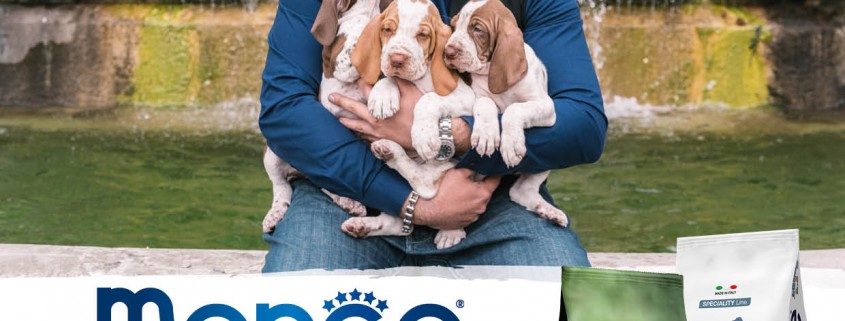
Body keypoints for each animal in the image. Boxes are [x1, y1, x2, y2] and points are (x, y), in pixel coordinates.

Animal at [342, 0, 478, 249]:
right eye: (388, 29)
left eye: (423, 34)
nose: (397, 59)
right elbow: (387, 77)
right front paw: (383, 95)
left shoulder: (466, 98)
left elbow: (428, 99)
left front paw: (423, 136)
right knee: (400, 223)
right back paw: (362, 225)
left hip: (446, 166)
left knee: (425, 184)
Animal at [442, 0, 568, 226]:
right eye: (454, 27)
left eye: (477, 29)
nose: (448, 52)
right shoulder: (478, 96)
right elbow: (486, 105)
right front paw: (486, 135)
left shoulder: (545, 106)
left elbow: (513, 109)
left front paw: (511, 145)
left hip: (551, 157)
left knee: (520, 190)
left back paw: (548, 211)